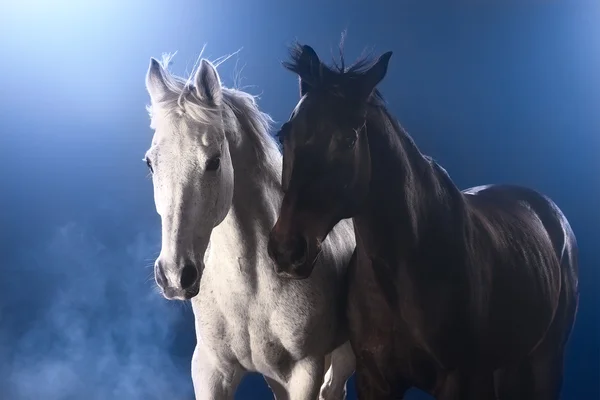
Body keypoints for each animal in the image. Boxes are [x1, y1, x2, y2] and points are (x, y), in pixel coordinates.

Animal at [144, 54, 356, 400]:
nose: (175, 275)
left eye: (214, 161)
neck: (249, 287)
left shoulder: (305, 372)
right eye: (150, 163)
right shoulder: (211, 369)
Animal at [268, 42, 580, 398]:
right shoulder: (375, 379)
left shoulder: (460, 380)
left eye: (348, 139)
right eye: (285, 134)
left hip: (545, 360)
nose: (287, 250)